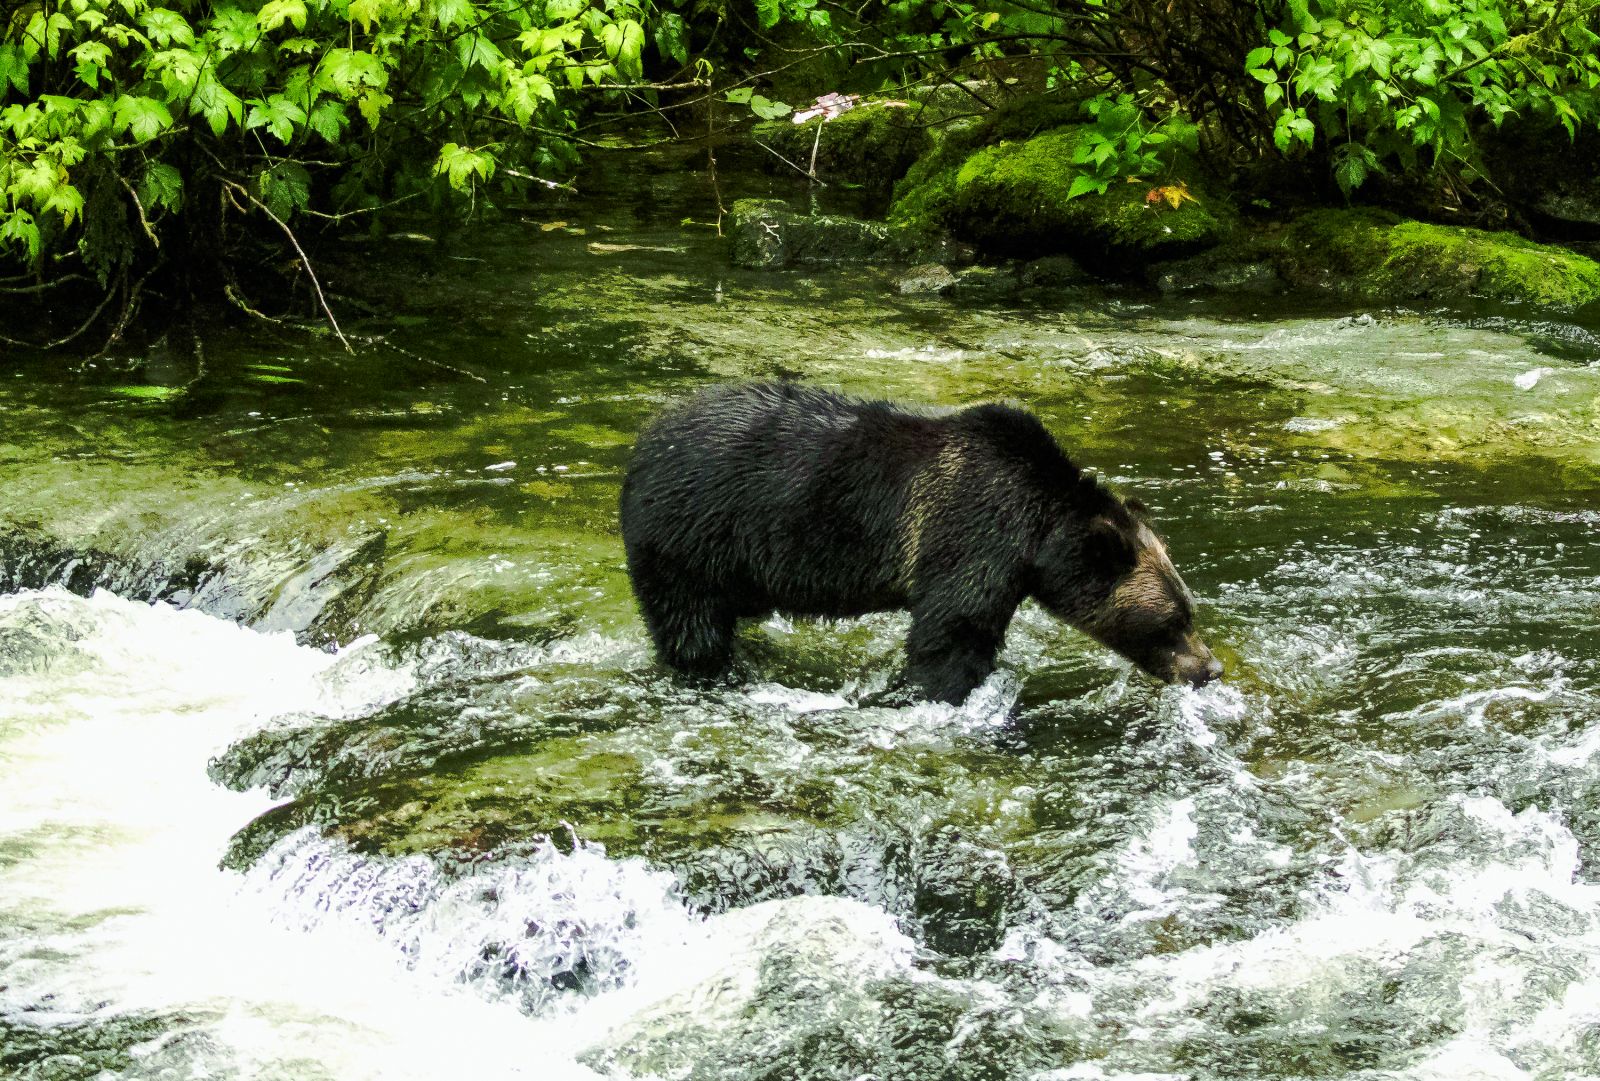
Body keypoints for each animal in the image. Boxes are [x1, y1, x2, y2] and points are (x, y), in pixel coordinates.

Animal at [617, 383, 1216, 703]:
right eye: (1172, 621)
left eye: (1190, 610)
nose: (1211, 669)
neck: (1035, 534)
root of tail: (644, 442)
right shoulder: (969, 532)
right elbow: (951, 633)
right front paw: (939, 690)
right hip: (690, 535)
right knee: (690, 624)